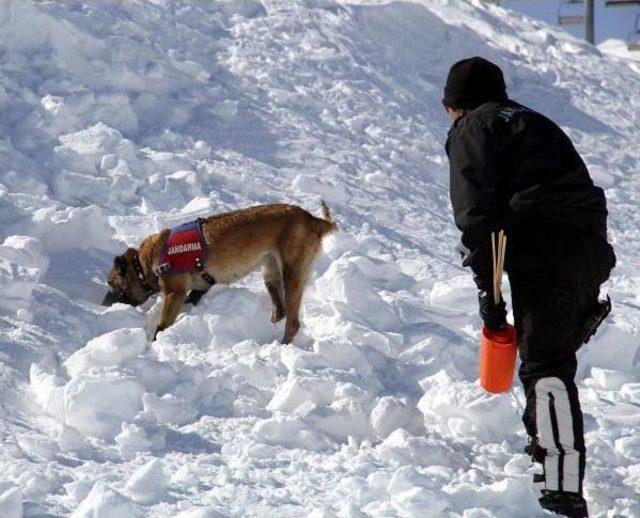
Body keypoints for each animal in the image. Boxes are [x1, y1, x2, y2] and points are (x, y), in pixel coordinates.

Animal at [102, 204, 338, 346]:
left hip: (292, 274)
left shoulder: (174, 294)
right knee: (279, 312)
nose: (104, 305)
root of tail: (313, 219)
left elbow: (161, 326)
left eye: (112, 284)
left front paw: (153, 344)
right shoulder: (197, 290)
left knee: (293, 322)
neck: (147, 262)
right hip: (270, 272)